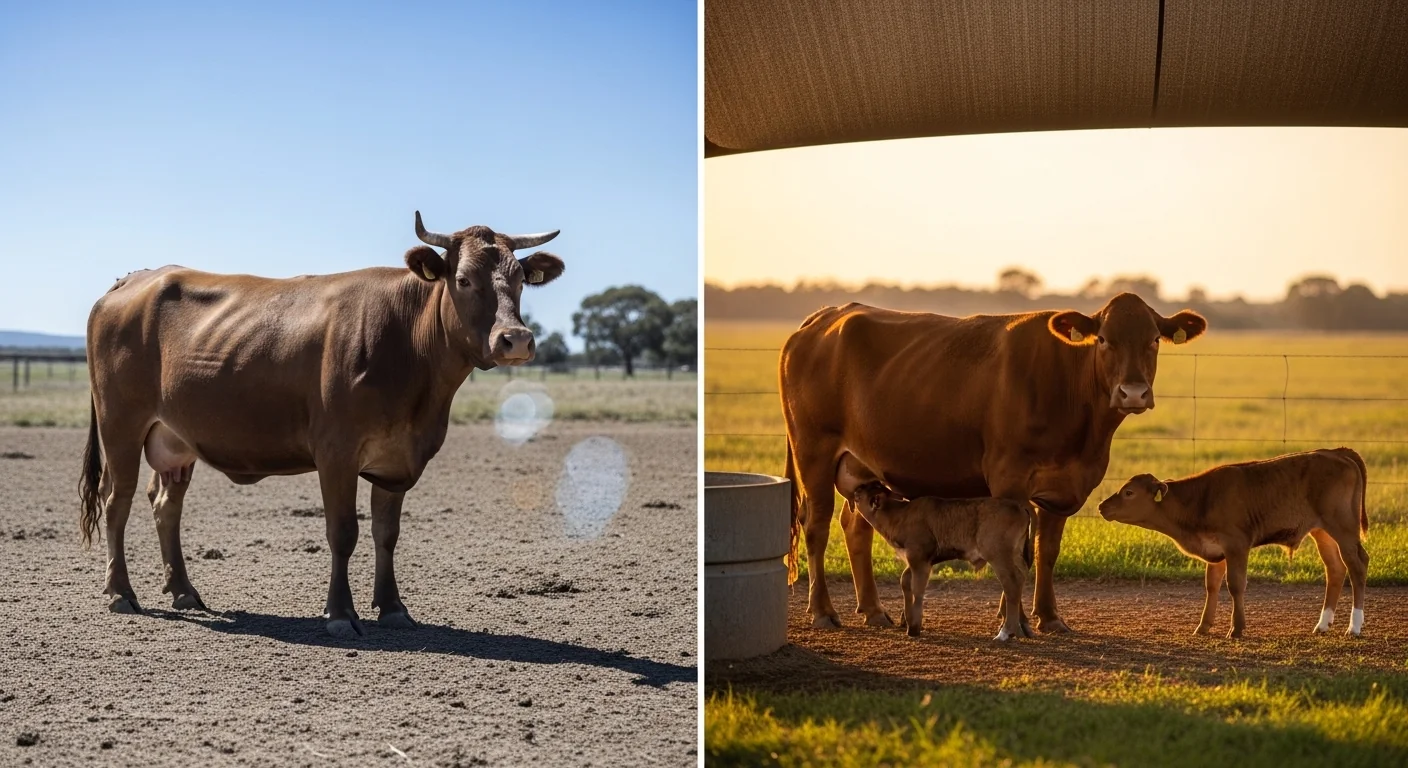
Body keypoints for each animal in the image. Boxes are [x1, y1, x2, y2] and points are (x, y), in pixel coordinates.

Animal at [78, 212, 565, 638]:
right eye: (463, 279)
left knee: (166, 506)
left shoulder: (397, 461)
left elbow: (387, 534)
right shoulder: (336, 453)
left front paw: (393, 608)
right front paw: (340, 614)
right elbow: (343, 533)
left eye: (520, 280)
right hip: (121, 426)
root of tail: (135, 278)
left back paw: (184, 591)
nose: (516, 340)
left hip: (176, 440)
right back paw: (120, 593)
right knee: (116, 502)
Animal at [848, 480, 1032, 641]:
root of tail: (1019, 507)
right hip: (1014, 555)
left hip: (998, 556)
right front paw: (907, 621)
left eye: (863, 490)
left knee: (1011, 584)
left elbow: (917, 589)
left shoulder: (919, 558)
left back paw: (1005, 632)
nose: (857, 487)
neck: (900, 514)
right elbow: (905, 581)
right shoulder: (916, 560)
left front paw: (914, 628)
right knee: (1021, 576)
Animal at [1097, 448, 1370, 638]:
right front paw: (1203, 626)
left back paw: (1354, 627)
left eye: (1129, 492)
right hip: (1322, 531)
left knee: (1357, 565)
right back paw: (1322, 624)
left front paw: (1236, 629)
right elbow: (1212, 586)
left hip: (1343, 527)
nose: (1101, 506)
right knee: (1335, 570)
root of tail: (1337, 452)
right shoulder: (1214, 549)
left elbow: (1235, 585)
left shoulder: (1236, 545)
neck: (1200, 500)